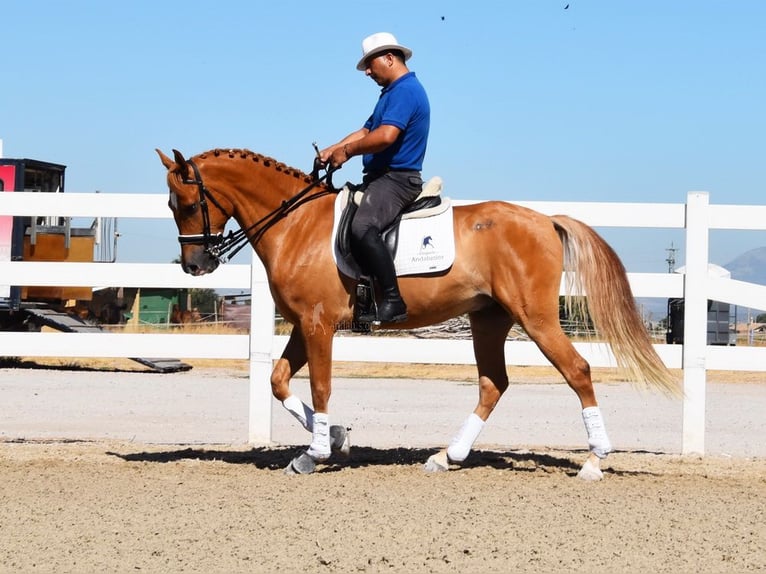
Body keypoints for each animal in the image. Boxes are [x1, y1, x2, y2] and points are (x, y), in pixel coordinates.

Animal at [156, 147, 680, 482]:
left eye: (187, 202)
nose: (194, 265)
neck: (296, 224)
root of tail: (545, 220)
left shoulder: (318, 324)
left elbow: (320, 386)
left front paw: (316, 453)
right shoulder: (304, 326)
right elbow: (279, 380)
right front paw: (339, 437)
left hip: (536, 318)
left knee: (577, 371)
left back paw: (593, 462)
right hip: (489, 319)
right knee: (493, 384)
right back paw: (448, 456)